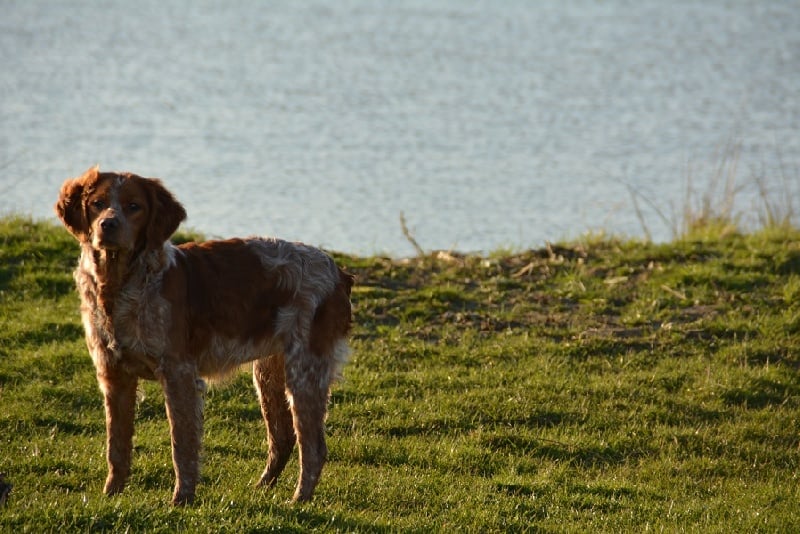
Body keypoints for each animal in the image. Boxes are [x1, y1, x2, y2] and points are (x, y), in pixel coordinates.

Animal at [55, 166, 354, 506]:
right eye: (97, 203)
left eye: (134, 206)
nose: (108, 224)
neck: (119, 288)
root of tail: (338, 272)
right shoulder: (113, 375)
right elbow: (116, 447)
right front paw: (111, 495)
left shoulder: (179, 373)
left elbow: (182, 445)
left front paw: (182, 500)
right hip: (268, 372)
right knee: (284, 438)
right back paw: (262, 488)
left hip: (305, 371)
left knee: (313, 446)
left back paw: (299, 501)